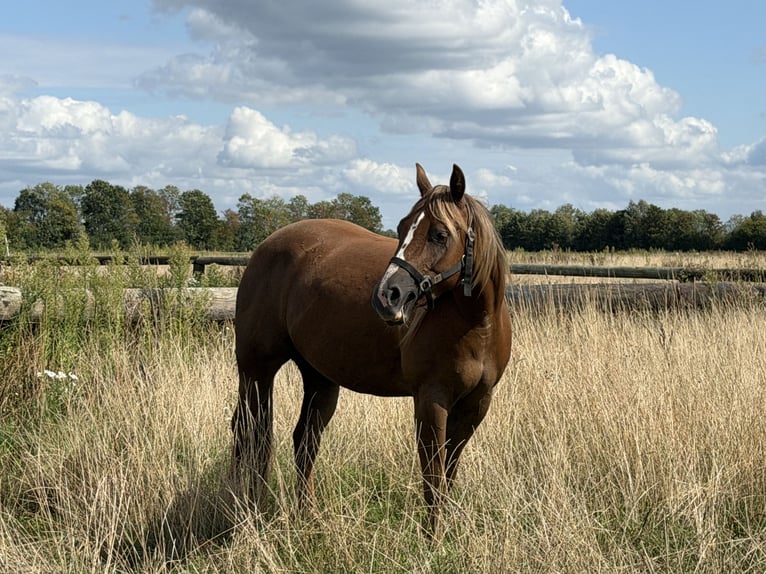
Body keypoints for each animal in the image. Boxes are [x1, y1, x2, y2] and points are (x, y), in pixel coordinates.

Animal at [231, 163, 512, 534]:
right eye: (402, 227)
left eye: (439, 234)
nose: (386, 297)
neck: (477, 324)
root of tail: (265, 248)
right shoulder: (431, 400)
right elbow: (433, 474)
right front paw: (432, 538)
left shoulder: (476, 404)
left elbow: (448, 472)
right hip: (257, 372)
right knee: (253, 439)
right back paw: (249, 510)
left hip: (319, 379)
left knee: (303, 441)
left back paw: (308, 516)